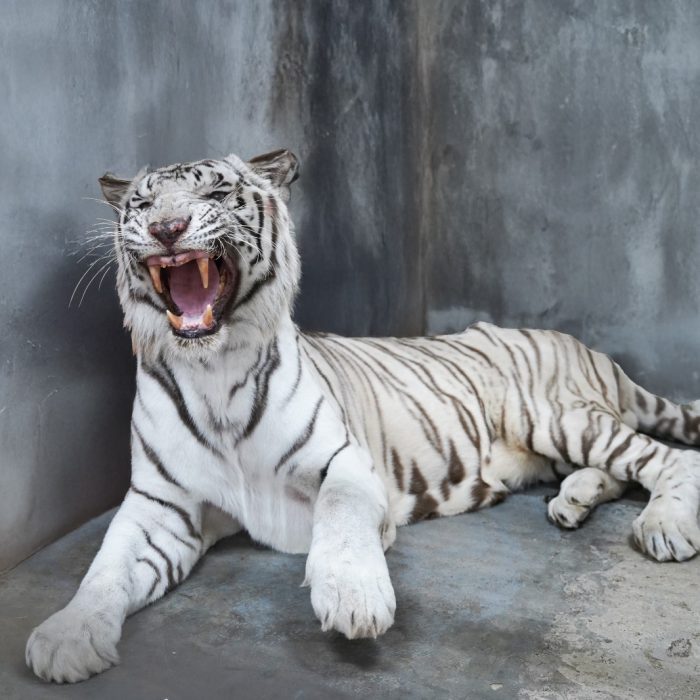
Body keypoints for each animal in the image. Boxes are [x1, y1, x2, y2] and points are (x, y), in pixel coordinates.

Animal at [26, 149, 700, 683]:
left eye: (214, 193)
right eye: (141, 203)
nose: (167, 227)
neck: (213, 371)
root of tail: (587, 348)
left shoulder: (345, 463)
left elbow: (341, 520)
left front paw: (354, 599)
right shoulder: (160, 502)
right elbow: (106, 568)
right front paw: (67, 636)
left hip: (554, 414)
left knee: (665, 459)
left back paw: (665, 527)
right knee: (616, 469)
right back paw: (572, 502)